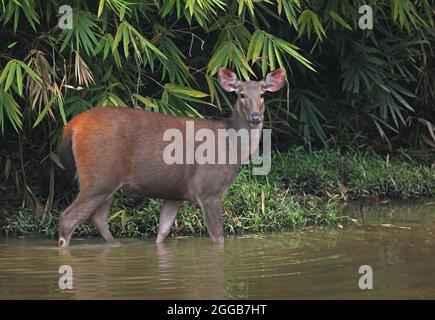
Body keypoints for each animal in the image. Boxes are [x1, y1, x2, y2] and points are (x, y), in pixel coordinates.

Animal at [58, 68, 288, 248]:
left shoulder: (175, 194)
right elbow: (218, 238)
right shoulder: (209, 190)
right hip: (98, 175)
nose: (255, 117)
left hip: (106, 181)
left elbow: (162, 231)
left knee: (98, 217)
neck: (232, 147)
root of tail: (72, 125)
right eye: (241, 94)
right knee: (69, 217)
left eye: (263, 94)